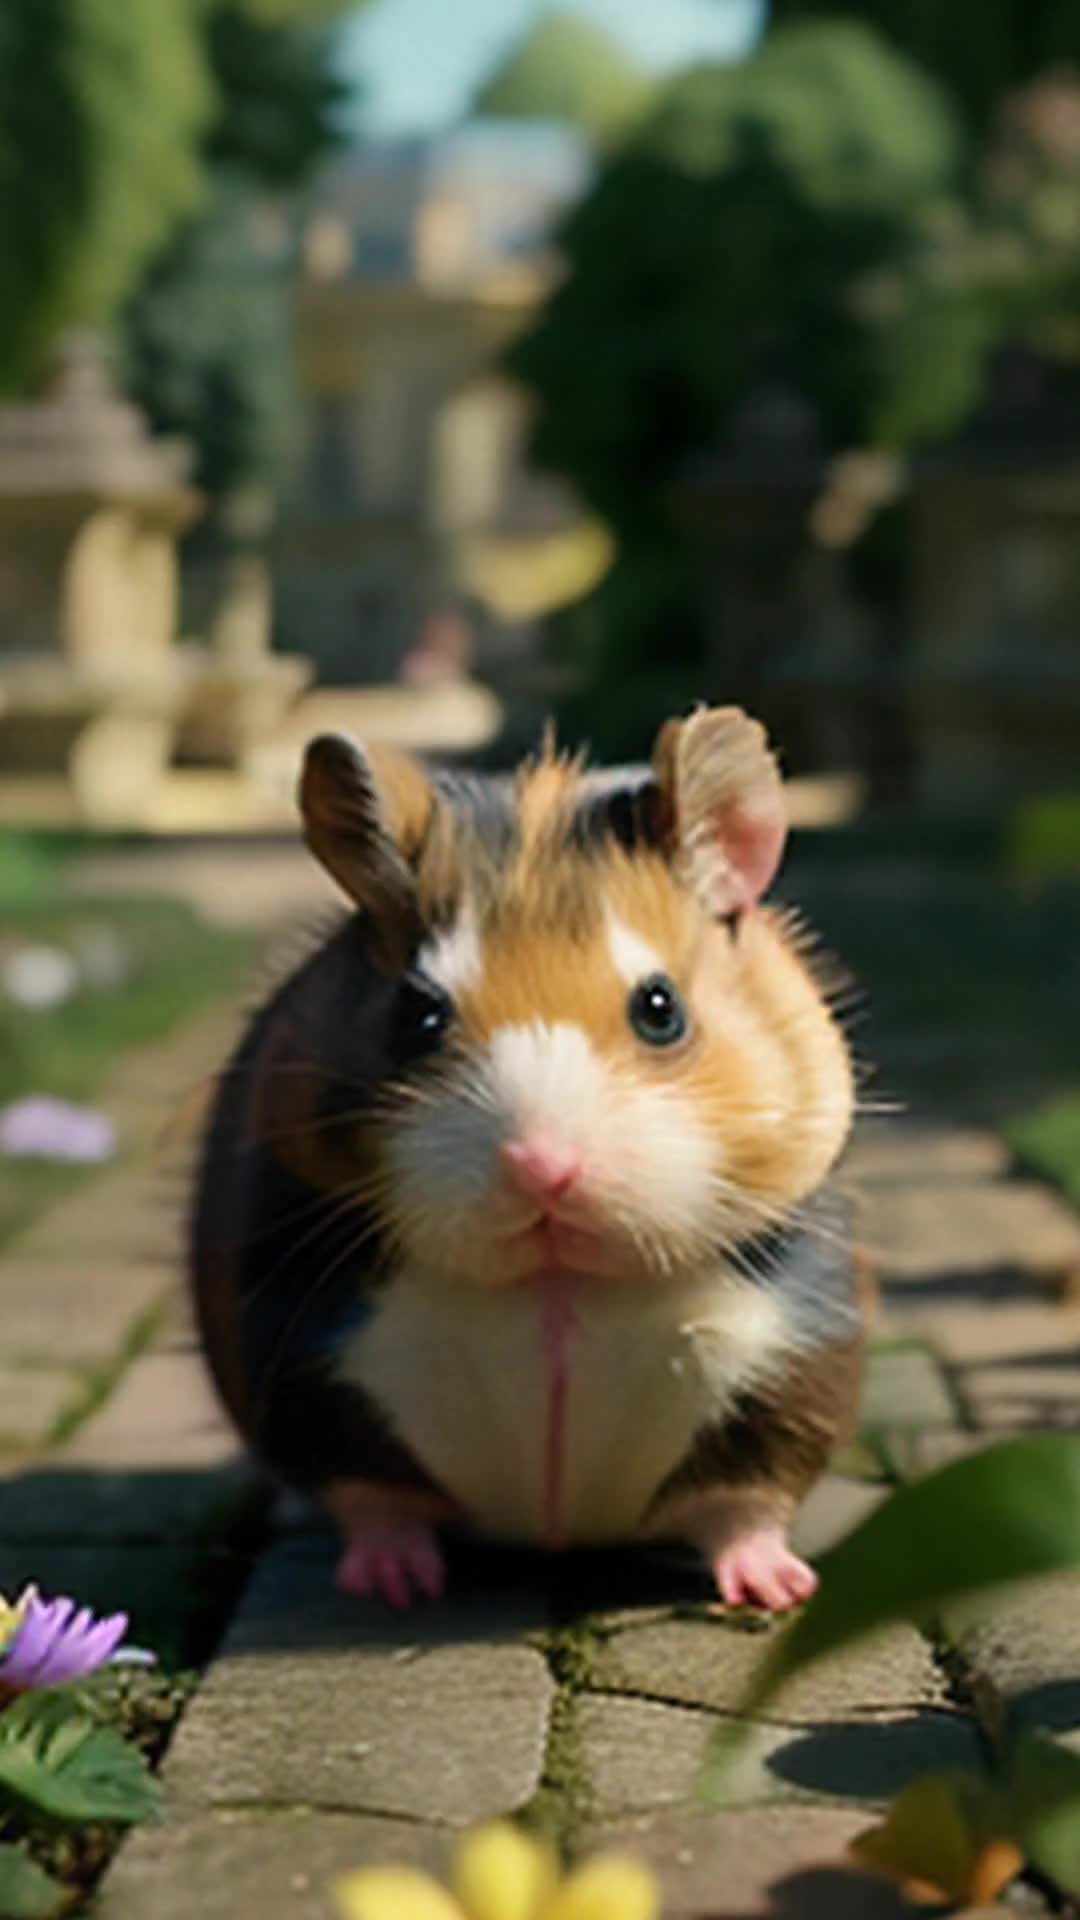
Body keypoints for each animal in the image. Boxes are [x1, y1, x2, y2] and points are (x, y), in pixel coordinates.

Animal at [193, 706, 860, 1605]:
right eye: (417, 1013)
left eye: (661, 1007)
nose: (543, 1169)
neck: (555, 1281)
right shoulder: (311, 1376)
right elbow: (374, 1501)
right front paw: (393, 1587)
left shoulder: (792, 1370)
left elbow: (744, 1508)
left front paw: (783, 1593)